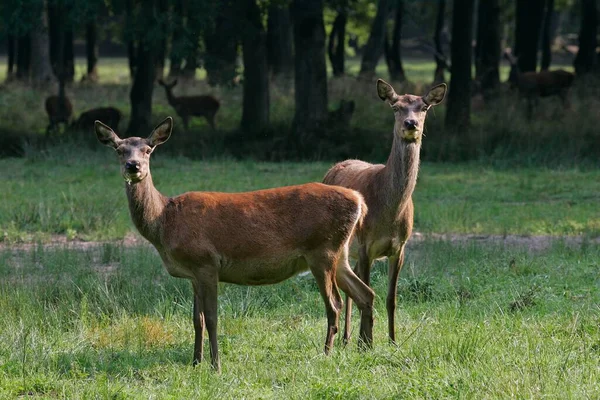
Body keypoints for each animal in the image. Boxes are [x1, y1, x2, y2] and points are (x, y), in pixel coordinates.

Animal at [94, 117, 376, 374]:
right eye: (119, 149)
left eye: (148, 149)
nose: (133, 166)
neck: (165, 221)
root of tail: (359, 200)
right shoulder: (192, 274)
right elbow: (196, 319)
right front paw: (195, 362)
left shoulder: (206, 262)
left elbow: (212, 318)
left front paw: (215, 366)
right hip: (340, 255)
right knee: (366, 293)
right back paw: (366, 347)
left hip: (322, 251)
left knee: (335, 304)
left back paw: (326, 353)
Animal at [324, 79, 446, 346]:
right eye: (395, 107)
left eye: (424, 107)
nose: (411, 124)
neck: (389, 214)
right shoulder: (365, 246)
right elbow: (368, 290)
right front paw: (365, 343)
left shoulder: (399, 247)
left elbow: (392, 298)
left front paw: (392, 341)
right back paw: (347, 338)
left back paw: (348, 338)